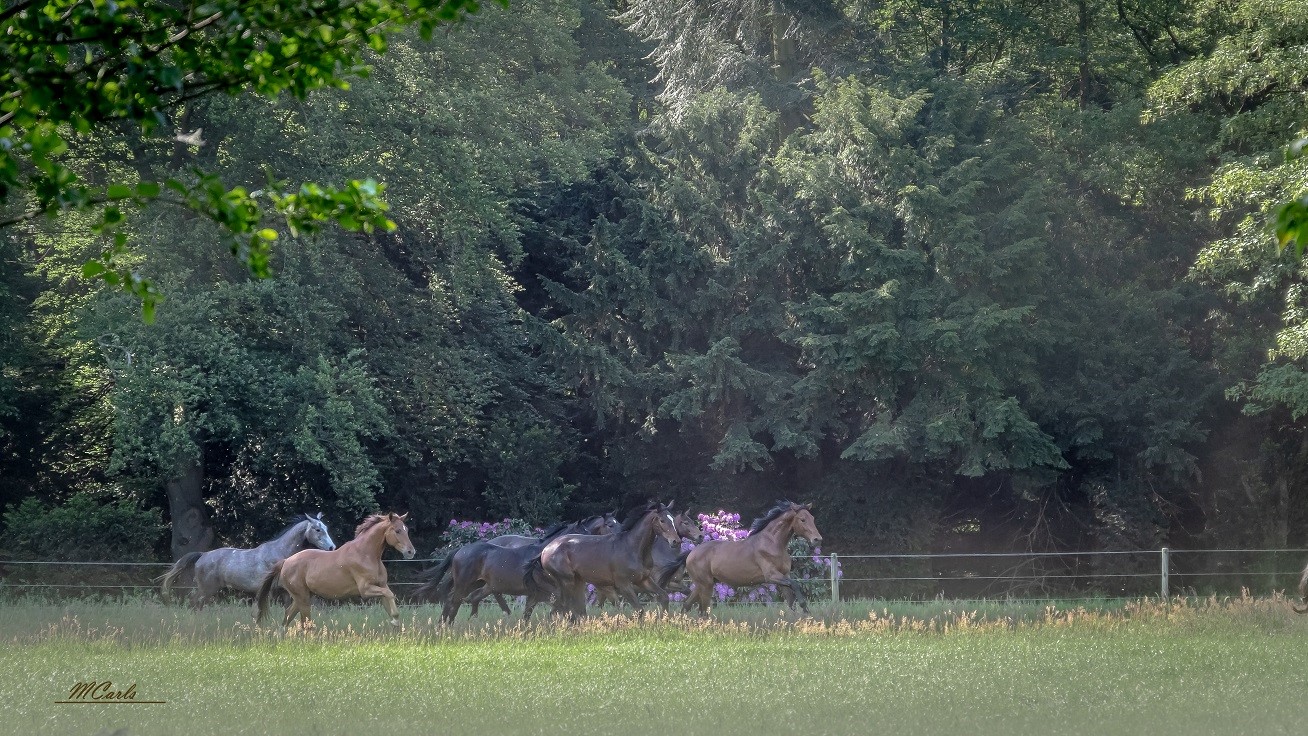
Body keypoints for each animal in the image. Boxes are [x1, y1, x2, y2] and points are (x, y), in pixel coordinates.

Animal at [160, 512, 334, 611]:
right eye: (318, 529)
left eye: (326, 527)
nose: (332, 547)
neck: (279, 554)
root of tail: (203, 555)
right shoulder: (270, 591)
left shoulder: (284, 592)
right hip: (206, 589)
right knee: (194, 602)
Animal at [255, 512, 413, 627]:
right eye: (398, 530)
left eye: (407, 530)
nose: (411, 552)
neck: (366, 554)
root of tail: (286, 562)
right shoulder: (366, 590)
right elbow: (390, 594)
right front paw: (395, 620)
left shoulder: (381, 586)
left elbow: (390, 600)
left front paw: (395, 623)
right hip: (302, 598)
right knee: (305, 624)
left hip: (302, 597)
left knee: (288, 618)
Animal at [525, 504, 680, 619]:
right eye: (662, 520)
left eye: (673, 520)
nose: (676, 541)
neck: (633, 548)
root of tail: (545, 550)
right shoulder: (623, 584)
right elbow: (639, 610)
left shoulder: (643, 580)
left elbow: (664, 597)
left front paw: (663, 622)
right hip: (565, 582)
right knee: (562, 610)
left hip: (577, 582)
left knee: (572, 611)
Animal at [669, 501, 821, 617]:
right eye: (802, 519)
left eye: (813, 518)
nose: (817, 539)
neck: (773, 543)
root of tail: (691, 553)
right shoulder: (772, 576)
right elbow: (795, 585)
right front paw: (806, 609)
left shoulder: (784, 576)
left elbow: (791, 602)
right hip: (706, 585)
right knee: (702, 611)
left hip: (703, 584)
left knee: (687, 605)